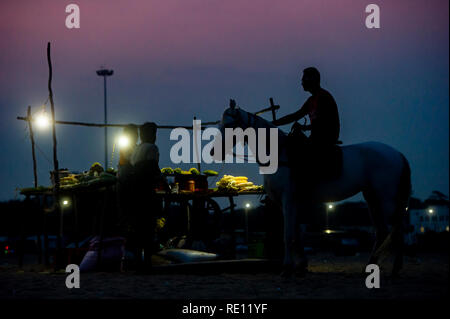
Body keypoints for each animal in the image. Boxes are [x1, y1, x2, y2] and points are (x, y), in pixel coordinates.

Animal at [214, 103, 412, 278]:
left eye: (230, 124)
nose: (214, 151)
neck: (279, 153)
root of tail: (397, 154)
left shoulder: (288, 199)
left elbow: (288, 234)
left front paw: (287, 268)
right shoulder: (287, 203)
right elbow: (296, 234)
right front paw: (300, 266)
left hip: (387, 200)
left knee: (397, 230)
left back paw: (395, 269)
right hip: (372, 199)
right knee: (383, 232)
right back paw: (371, 267)